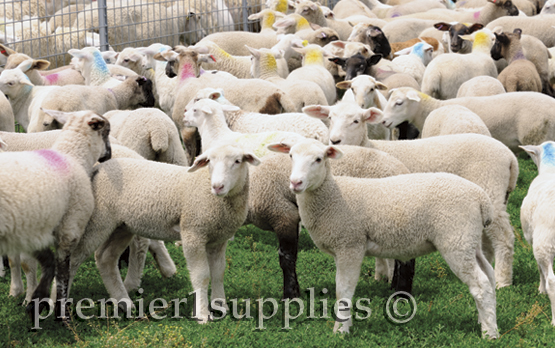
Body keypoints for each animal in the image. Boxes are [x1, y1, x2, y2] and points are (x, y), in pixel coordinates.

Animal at [0, 108, 112, 324]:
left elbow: (40, 263)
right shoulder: (70, 229)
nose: (109, 155)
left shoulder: (32, 233)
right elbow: (63, 273)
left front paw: (35, 301)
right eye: (107, 131)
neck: (73, 156)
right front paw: (62, 314)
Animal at [268, 138, 500, 338]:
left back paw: (490, 334)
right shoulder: (340, 247)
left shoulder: (350, 244)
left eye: (318, 159)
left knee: (480, 285)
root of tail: (481, 199)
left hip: (455, 239)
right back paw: (485, 320)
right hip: (469, 240)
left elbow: (344, 289)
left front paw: (340, 331)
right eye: (290, 155)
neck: (332, 196)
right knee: (489, 275)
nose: (295, 183)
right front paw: (346, 325)